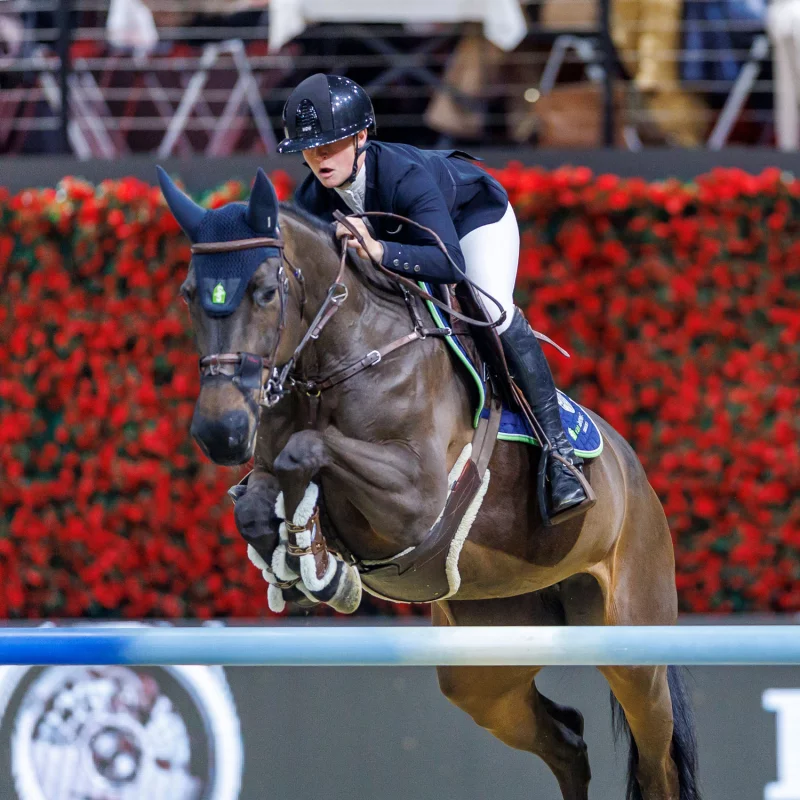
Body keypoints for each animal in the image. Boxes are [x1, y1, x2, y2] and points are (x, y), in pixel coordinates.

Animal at [158, 167, 700, 800]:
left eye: (266, 291)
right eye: (188, 294)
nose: (218, 431)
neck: (335, 358)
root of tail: (637, 478)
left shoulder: (416, 498)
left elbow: (309, 451)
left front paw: (317, 560)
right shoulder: (270, 466)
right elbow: (255, 499)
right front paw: (303, 563)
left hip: (634, 648)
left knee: (656, 762)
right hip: (485, 662)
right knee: (567, 741)